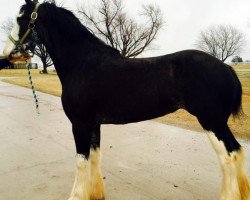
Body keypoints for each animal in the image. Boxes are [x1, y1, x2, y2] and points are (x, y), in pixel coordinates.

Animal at [2, 0, 250, 199]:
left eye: (20, 18)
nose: (7, 53)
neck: (82, 63)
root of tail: (227, 67)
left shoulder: (79, 124)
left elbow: (81, 162)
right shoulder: (93, 125)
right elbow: (95, 159)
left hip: (212, 122)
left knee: (229, 157)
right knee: (236, 153)